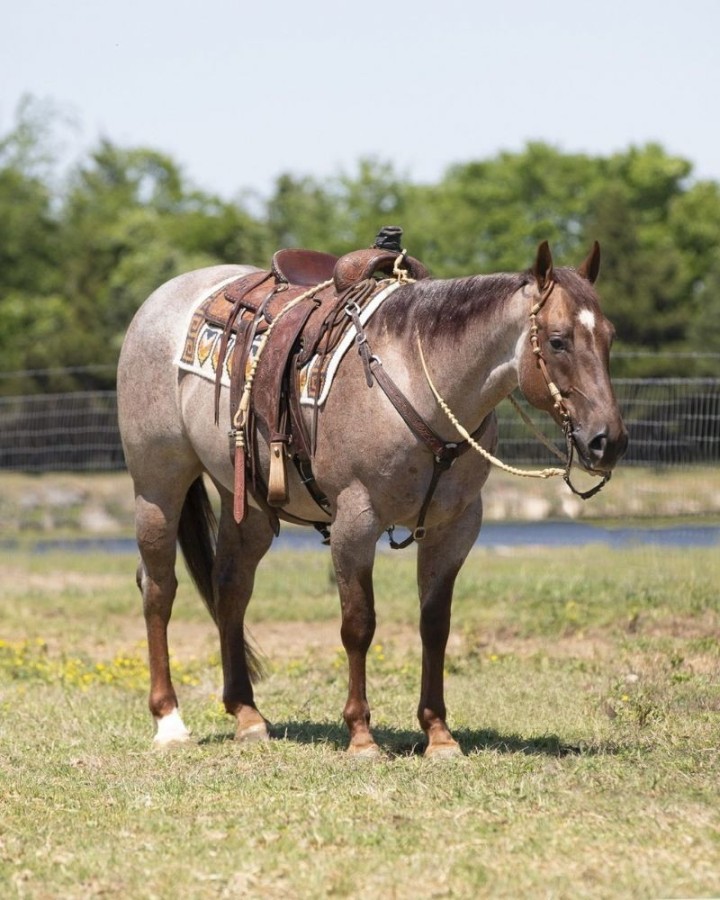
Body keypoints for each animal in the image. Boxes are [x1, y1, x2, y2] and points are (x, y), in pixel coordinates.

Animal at [117, 238, 627, 758]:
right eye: (559, 340)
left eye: (609, 337)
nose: (608, 441)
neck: (420, 382)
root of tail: (163, 298)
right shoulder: (355, 524)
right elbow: (358, 625)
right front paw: (361, 734)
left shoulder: (455, 527)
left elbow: (435, 625)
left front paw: (438, 732)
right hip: (158, 486)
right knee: (158, 588)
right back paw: (169, 720)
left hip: (247, 502)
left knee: (230, 588)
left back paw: (247, 714)